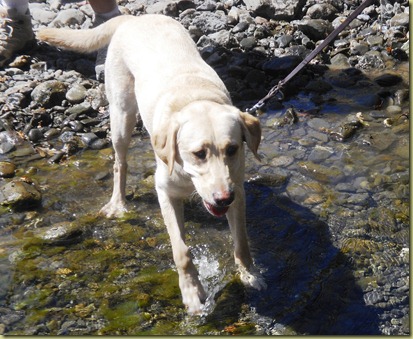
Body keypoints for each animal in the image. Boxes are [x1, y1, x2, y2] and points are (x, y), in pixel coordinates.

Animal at [37, 14, 266, 314]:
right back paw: (118, 203)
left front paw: (249, 275)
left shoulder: (237, 190)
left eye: (233, 149)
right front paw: (192, 292)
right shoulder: (165, 193)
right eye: (199, 153)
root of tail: (135, 17)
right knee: (119, 164)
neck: (196, 98)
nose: (222, 199)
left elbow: (242, 242)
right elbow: (181, 251)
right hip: (121, 117)